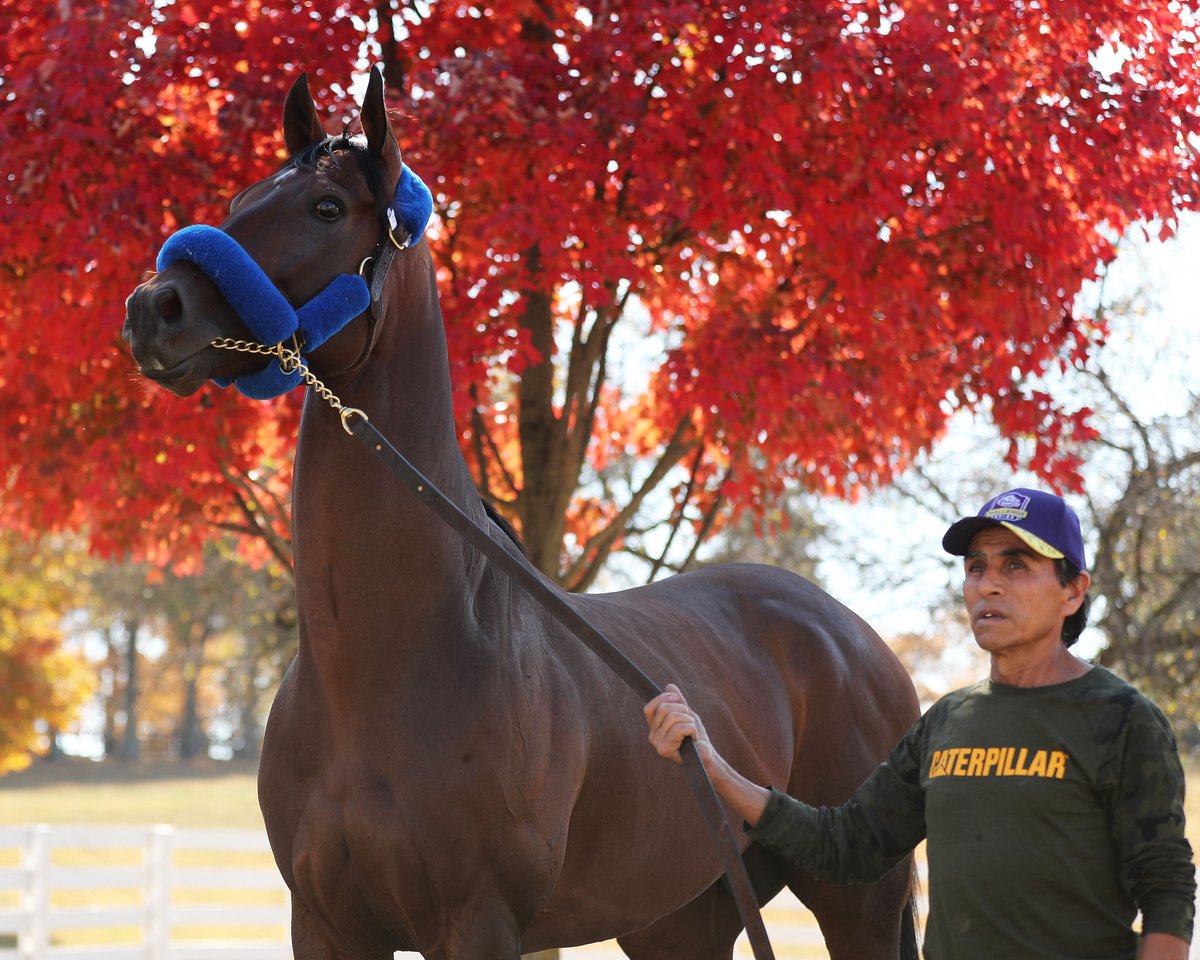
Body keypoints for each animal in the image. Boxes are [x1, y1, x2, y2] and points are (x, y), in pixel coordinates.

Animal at [123, 68, 922, 960]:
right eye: (239, 198)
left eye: (326, 207)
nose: (155, 309)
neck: (383, 668)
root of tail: (856, 637)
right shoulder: (325, 923)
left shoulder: (478, 922)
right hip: (685, 916)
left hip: (859, 904)